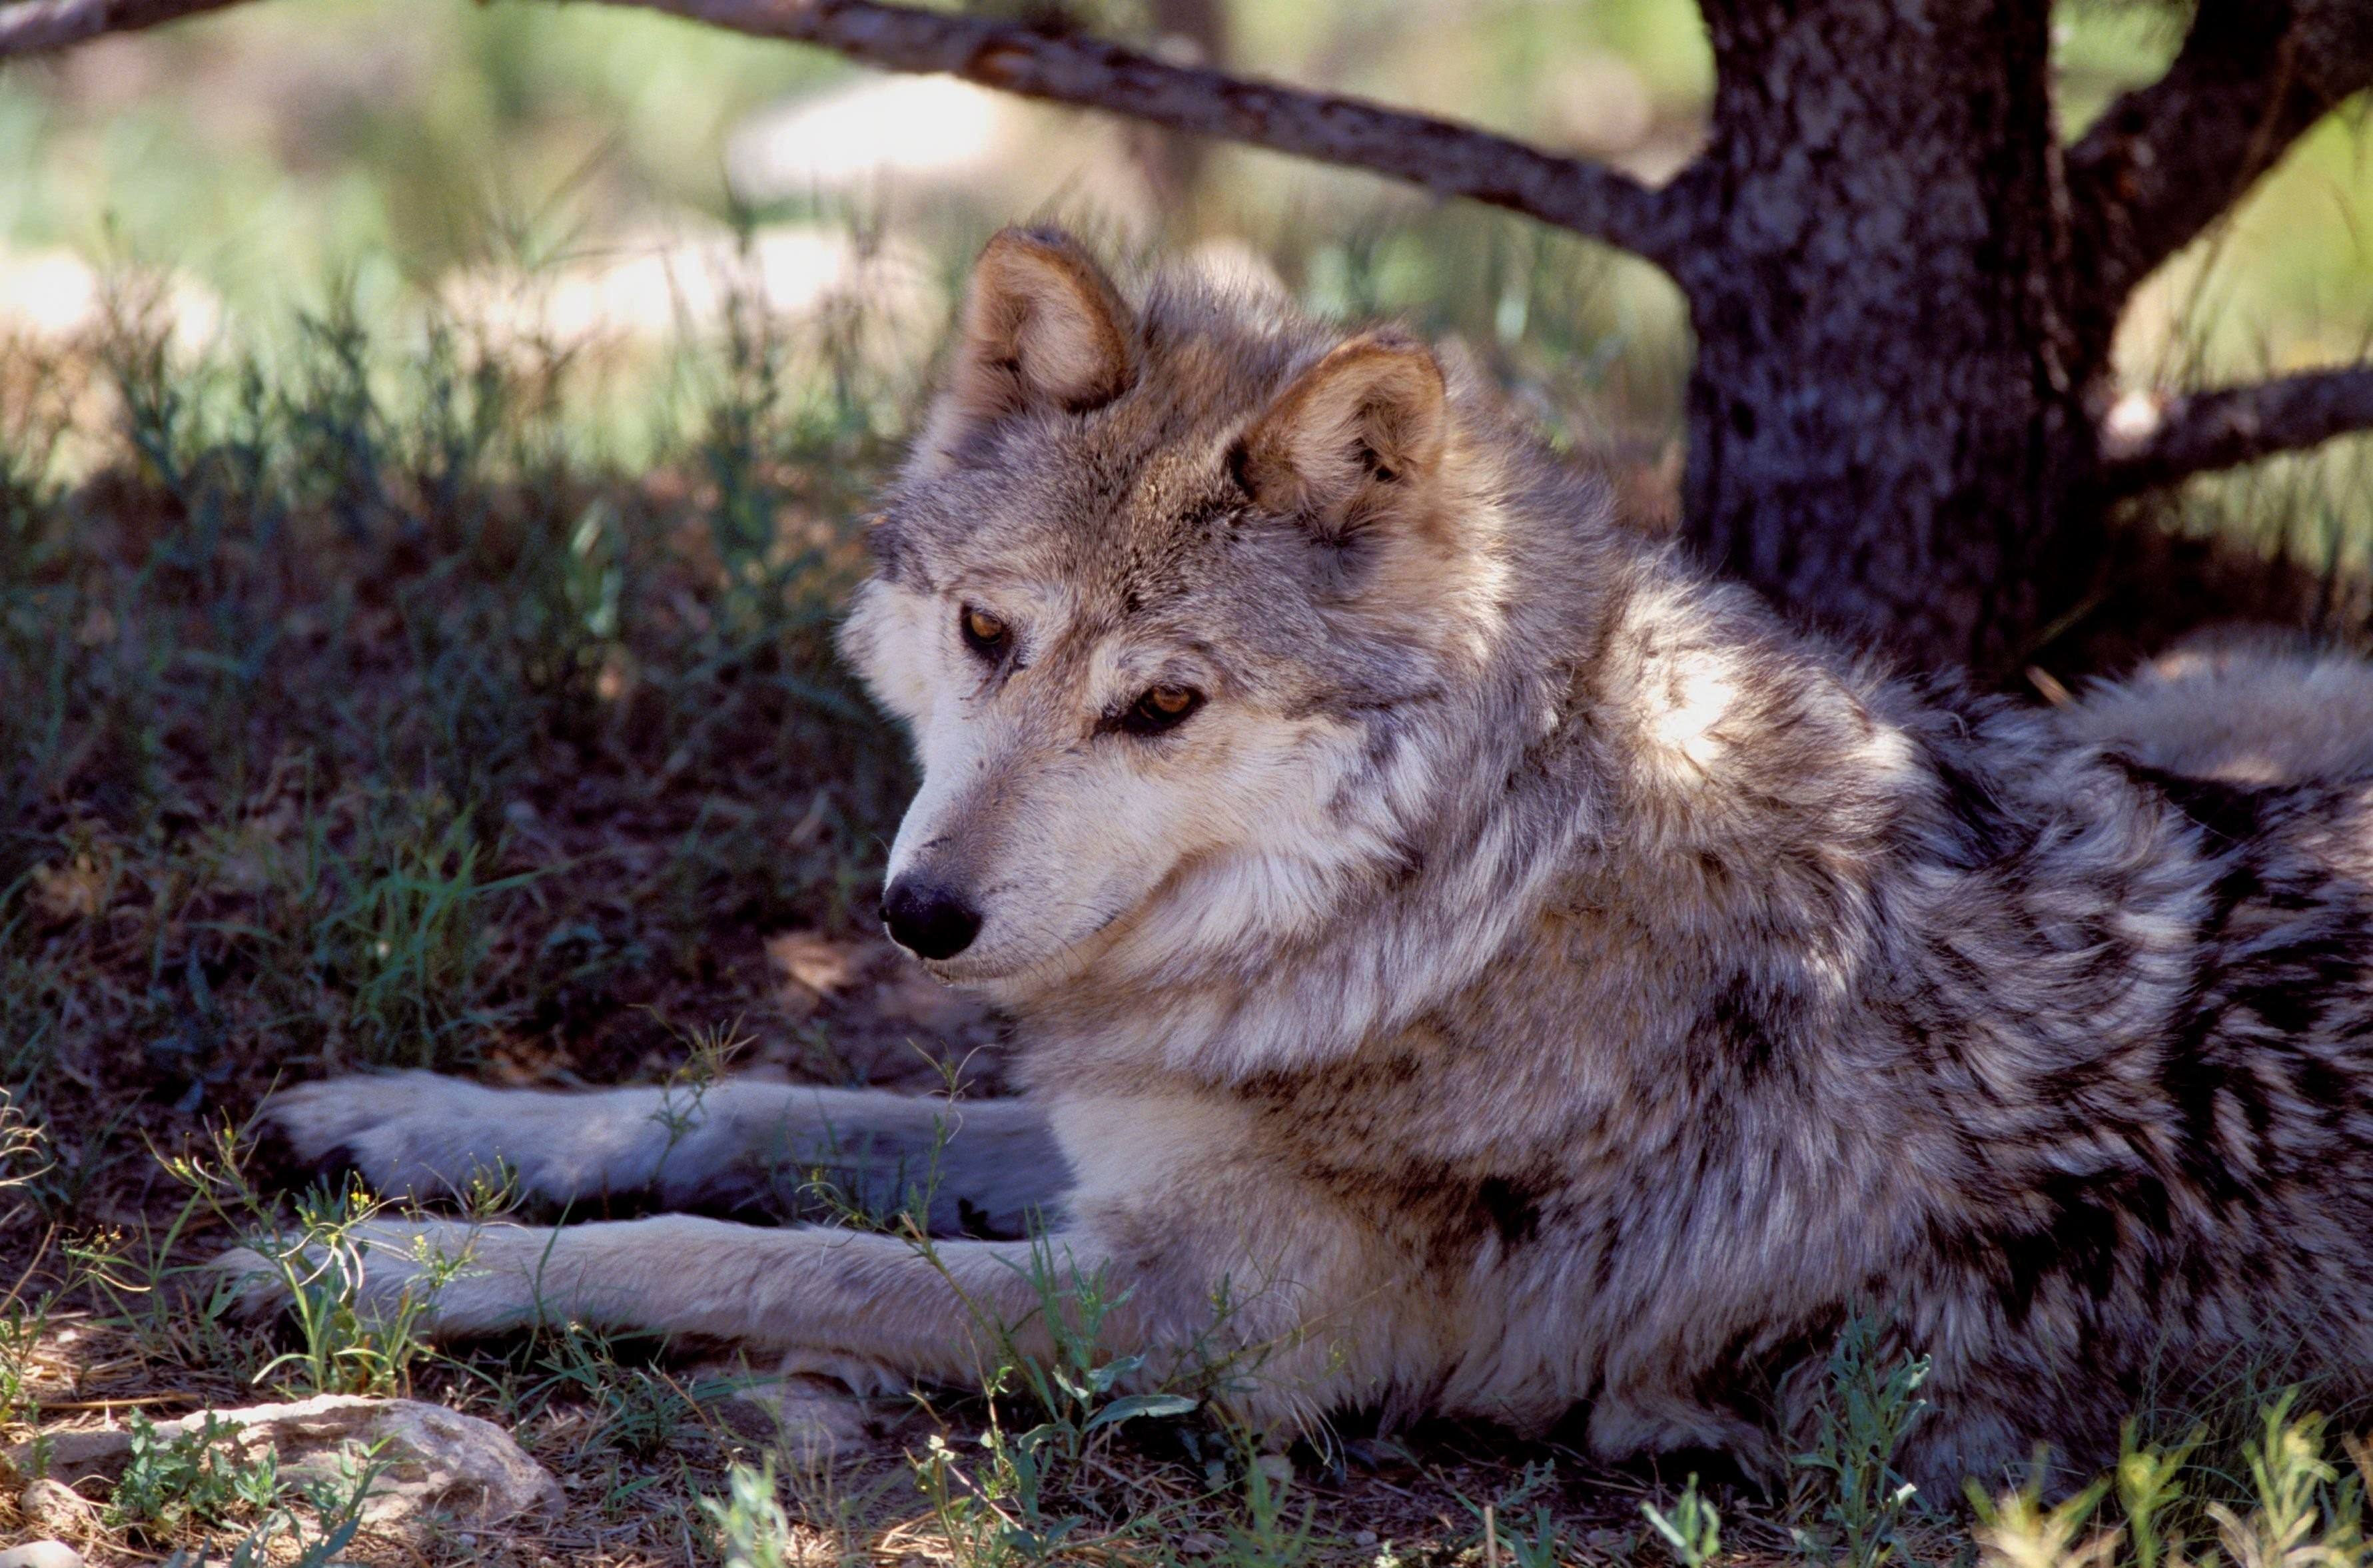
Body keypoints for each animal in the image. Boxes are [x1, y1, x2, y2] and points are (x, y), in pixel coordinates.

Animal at [231, 226, 2373, 1489]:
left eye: (1162, 705)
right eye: (987, 636)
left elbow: (762, 1252)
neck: (1457, 897)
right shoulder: (1116, 1131)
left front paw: (398, 1266)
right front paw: (416, 1126)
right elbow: (750, 1100)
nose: (918, 917)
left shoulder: (1219, 1327)